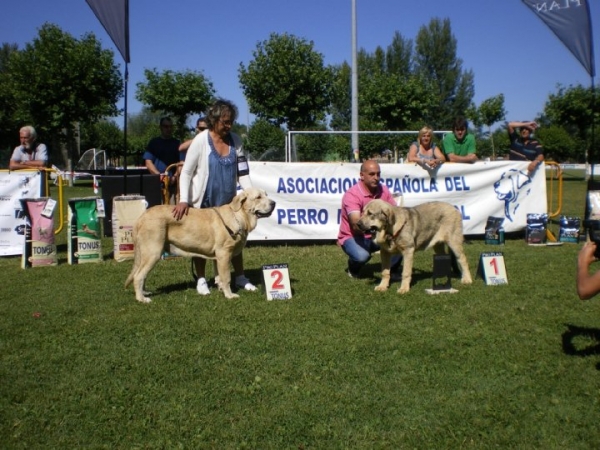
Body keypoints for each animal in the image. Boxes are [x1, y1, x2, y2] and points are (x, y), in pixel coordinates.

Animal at [127, 186, 278, 302]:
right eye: (258, 197)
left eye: (266, 195)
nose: (274, 203)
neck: (238, 216)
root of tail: (141, 217)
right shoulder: (224, 254)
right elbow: (226, 277)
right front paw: (229, 295)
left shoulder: (218, 257)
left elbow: (219, 276)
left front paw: (221, 290)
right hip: (153, 252)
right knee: (138, 276)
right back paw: (142, 299)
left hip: (145, 254)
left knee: (140, 274)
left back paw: (144, 292)